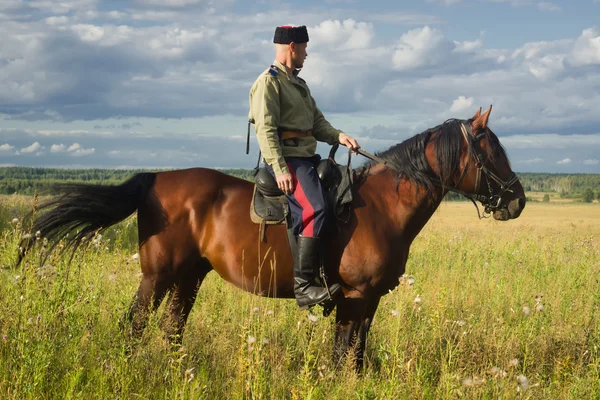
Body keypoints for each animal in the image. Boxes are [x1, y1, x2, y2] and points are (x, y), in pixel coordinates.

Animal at [17, 106, 524, 368]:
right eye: (492, 149)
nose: (517, 200)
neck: (382, 207)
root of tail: (156, 178)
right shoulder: (354, 296)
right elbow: (342, 357)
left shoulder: (370, 300)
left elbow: (356, 356)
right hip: (156, 277)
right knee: (134, 327)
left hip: (188, 277)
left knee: (171, 331)